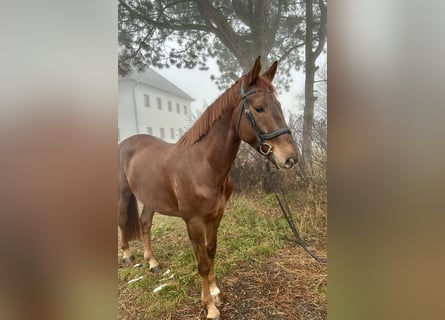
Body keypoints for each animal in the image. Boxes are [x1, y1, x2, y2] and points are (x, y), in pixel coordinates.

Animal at [119, 56, 298, 318]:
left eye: (279, 106)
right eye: (259, 108)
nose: (290, 158)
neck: (204, 165)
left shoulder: (216, 216)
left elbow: (211, 250)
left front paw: (215, 292)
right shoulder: (193, 222)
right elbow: (202, 262)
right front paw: (210, 307)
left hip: (150, 198)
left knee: (144, 223)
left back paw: (152, 262)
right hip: (123, 193)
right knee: (123, 221)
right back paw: (127, 255)